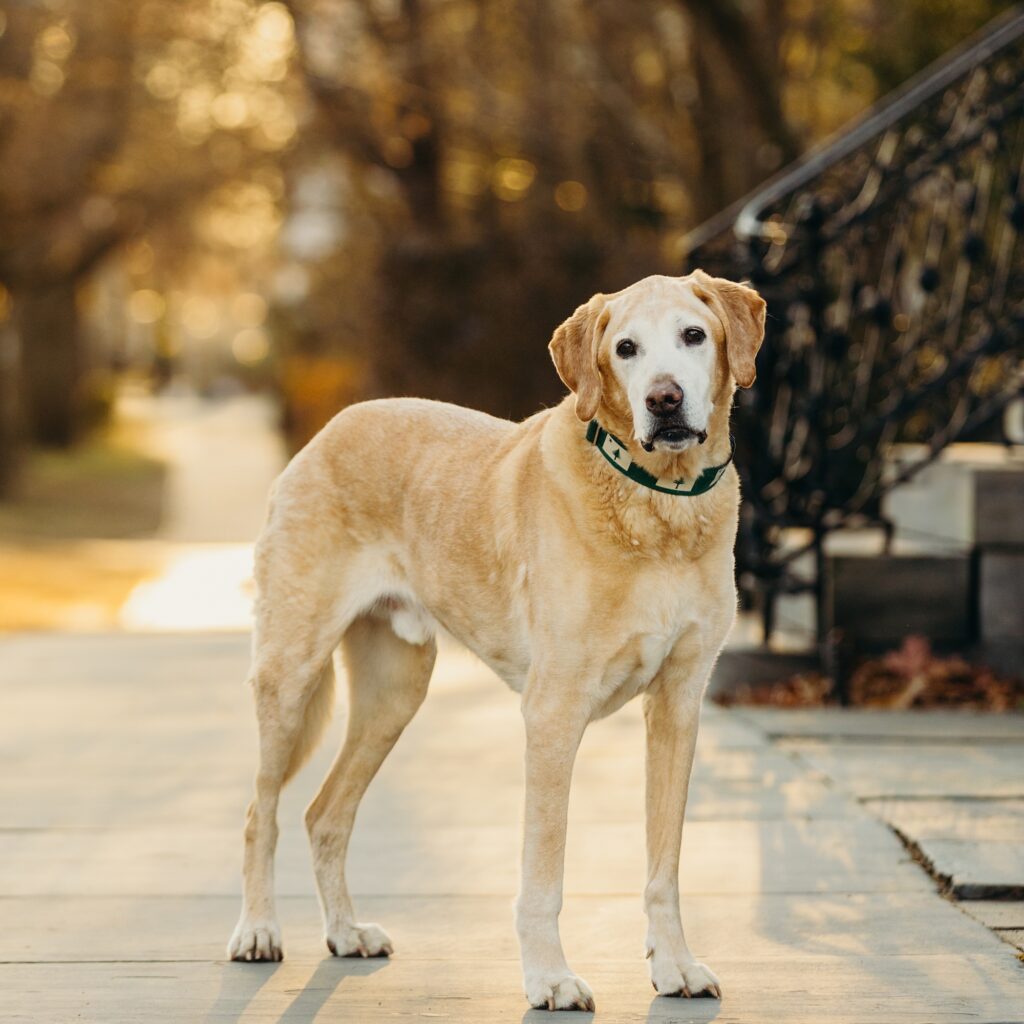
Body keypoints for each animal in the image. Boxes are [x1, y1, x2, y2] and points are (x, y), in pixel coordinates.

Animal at [228, 270, 765, 1007]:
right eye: (624, 348)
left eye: (693, 335)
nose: (664, 400)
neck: (658, 509)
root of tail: (330, 428)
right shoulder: (553, 711)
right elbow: (545, 869)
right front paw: (549, 977)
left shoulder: (679, 706)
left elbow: (665, 865)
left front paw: (674, 964)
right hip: (290, 675)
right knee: (263, 811)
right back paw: (257, 929)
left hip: (393, 696)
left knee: (324, 815)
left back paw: (344, 931)